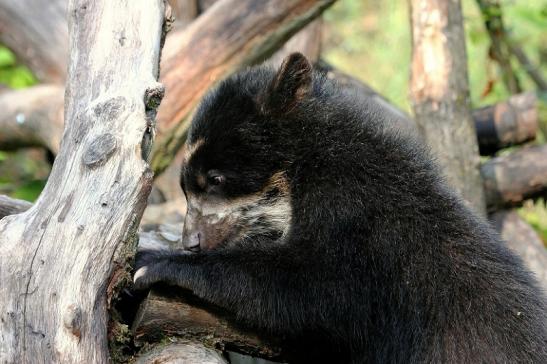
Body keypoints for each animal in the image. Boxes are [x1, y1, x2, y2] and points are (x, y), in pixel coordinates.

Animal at [134, 52, 547, 362]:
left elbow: (312, 285)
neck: (307, 164)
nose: (192, 241)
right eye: (186, 188)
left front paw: (150, 262)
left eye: (215, 179)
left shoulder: (355, 217)